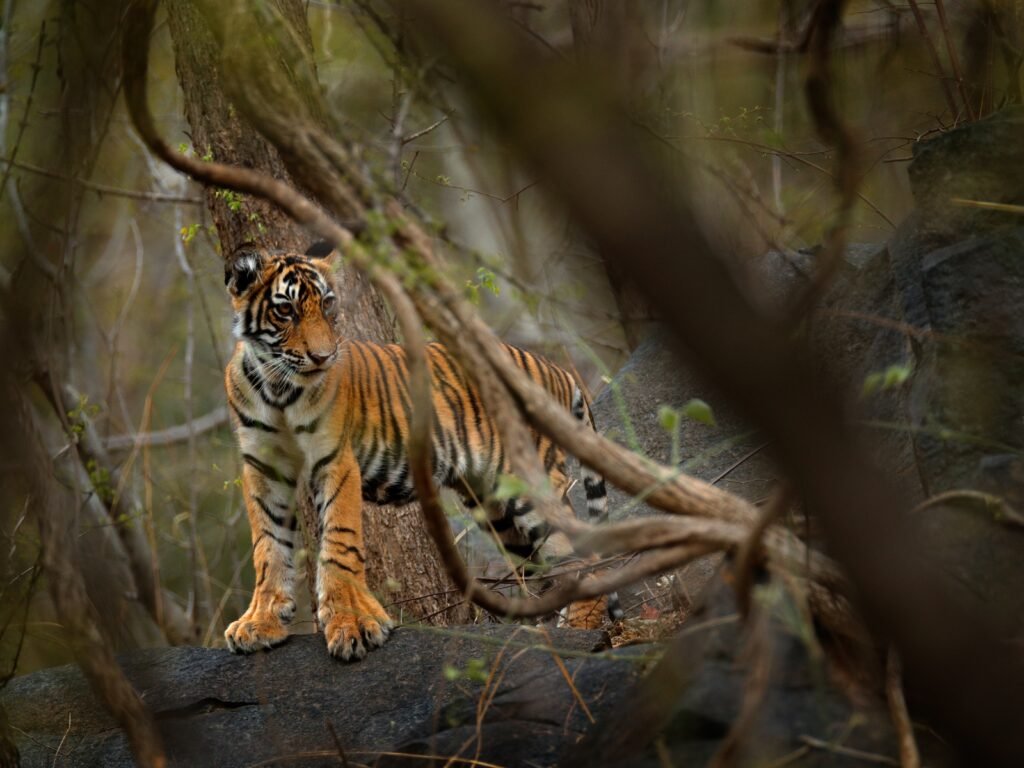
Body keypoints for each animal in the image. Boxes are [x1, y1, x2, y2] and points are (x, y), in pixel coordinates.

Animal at [222, 243, 619, 661]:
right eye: (285, 311)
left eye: (328, 305)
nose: (324, 357)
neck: (278, 387)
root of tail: (557, 369)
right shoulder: (263, 466)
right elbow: (268, 546)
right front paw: (260, 622)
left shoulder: (335, 458)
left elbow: (338, 541)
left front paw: (353, 624)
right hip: (495, 506)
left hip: (528, 484)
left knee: (586, 558)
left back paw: (577, 633)